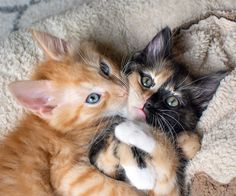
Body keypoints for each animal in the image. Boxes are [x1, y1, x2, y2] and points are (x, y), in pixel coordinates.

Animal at [89, 26, 226, 195]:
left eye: (172, 101)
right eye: (147, 81)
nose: (148, 103)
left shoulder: (169, 188)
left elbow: (170, 150)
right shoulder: (98, 157)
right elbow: (118, 146)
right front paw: (142, 175)